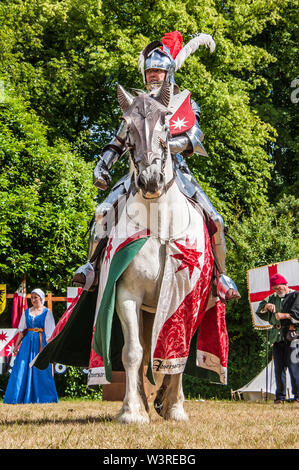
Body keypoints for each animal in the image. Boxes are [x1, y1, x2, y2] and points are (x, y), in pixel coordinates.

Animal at [112, 81, 213, 426]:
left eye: (167, 125)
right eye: (127, 128)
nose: (150, 179)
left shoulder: (188, 297)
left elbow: (178, 353)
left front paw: (173, 406)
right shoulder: (127, 296)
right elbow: (133, 352)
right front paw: (132, 411)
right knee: (143, 352)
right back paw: (144, 402)